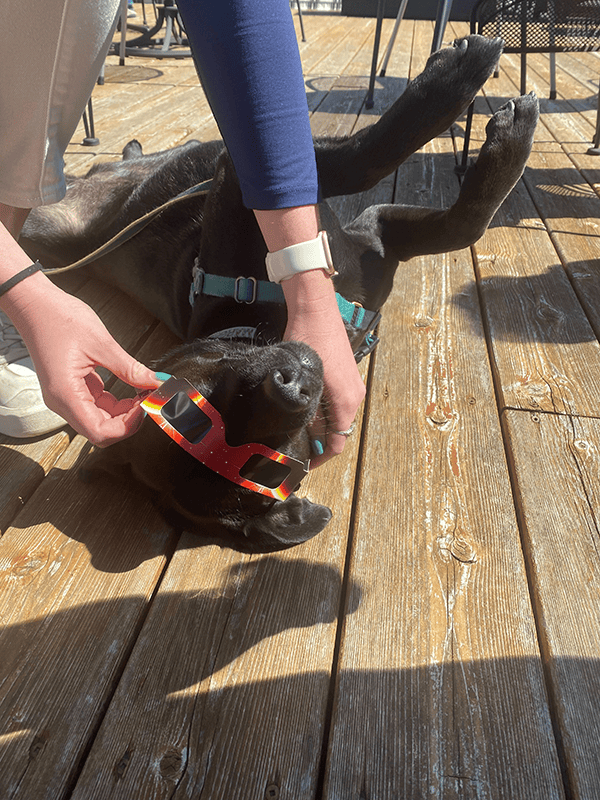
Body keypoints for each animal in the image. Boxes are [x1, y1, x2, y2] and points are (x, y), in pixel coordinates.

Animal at [22, 36, 540, 552]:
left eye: (189, 404)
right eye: (266, 465)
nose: (292, 388)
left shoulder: (377, 235)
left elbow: (460, 221)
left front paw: (490, 112)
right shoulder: (243, 178)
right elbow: (358, 160)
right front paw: (463, 77)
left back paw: (139, 149)